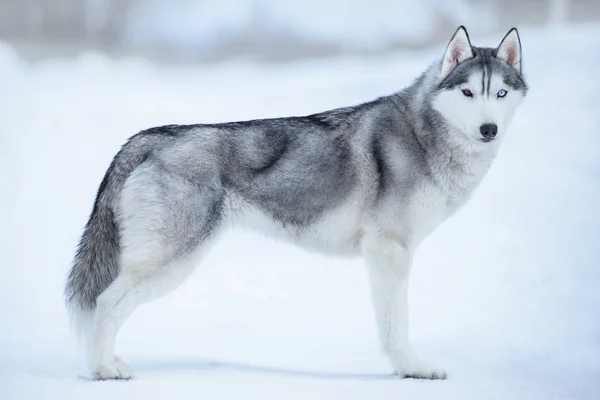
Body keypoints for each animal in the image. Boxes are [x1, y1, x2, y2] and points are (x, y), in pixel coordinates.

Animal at [63, 26, 528, 380]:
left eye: (500, 94)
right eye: (467, 92)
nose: (488, 129)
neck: (424, 133)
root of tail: (147, 138)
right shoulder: (390, 251)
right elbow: (397, 323)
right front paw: (411, 368)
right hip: (169, 263)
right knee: (106, 305)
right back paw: (104, 371)